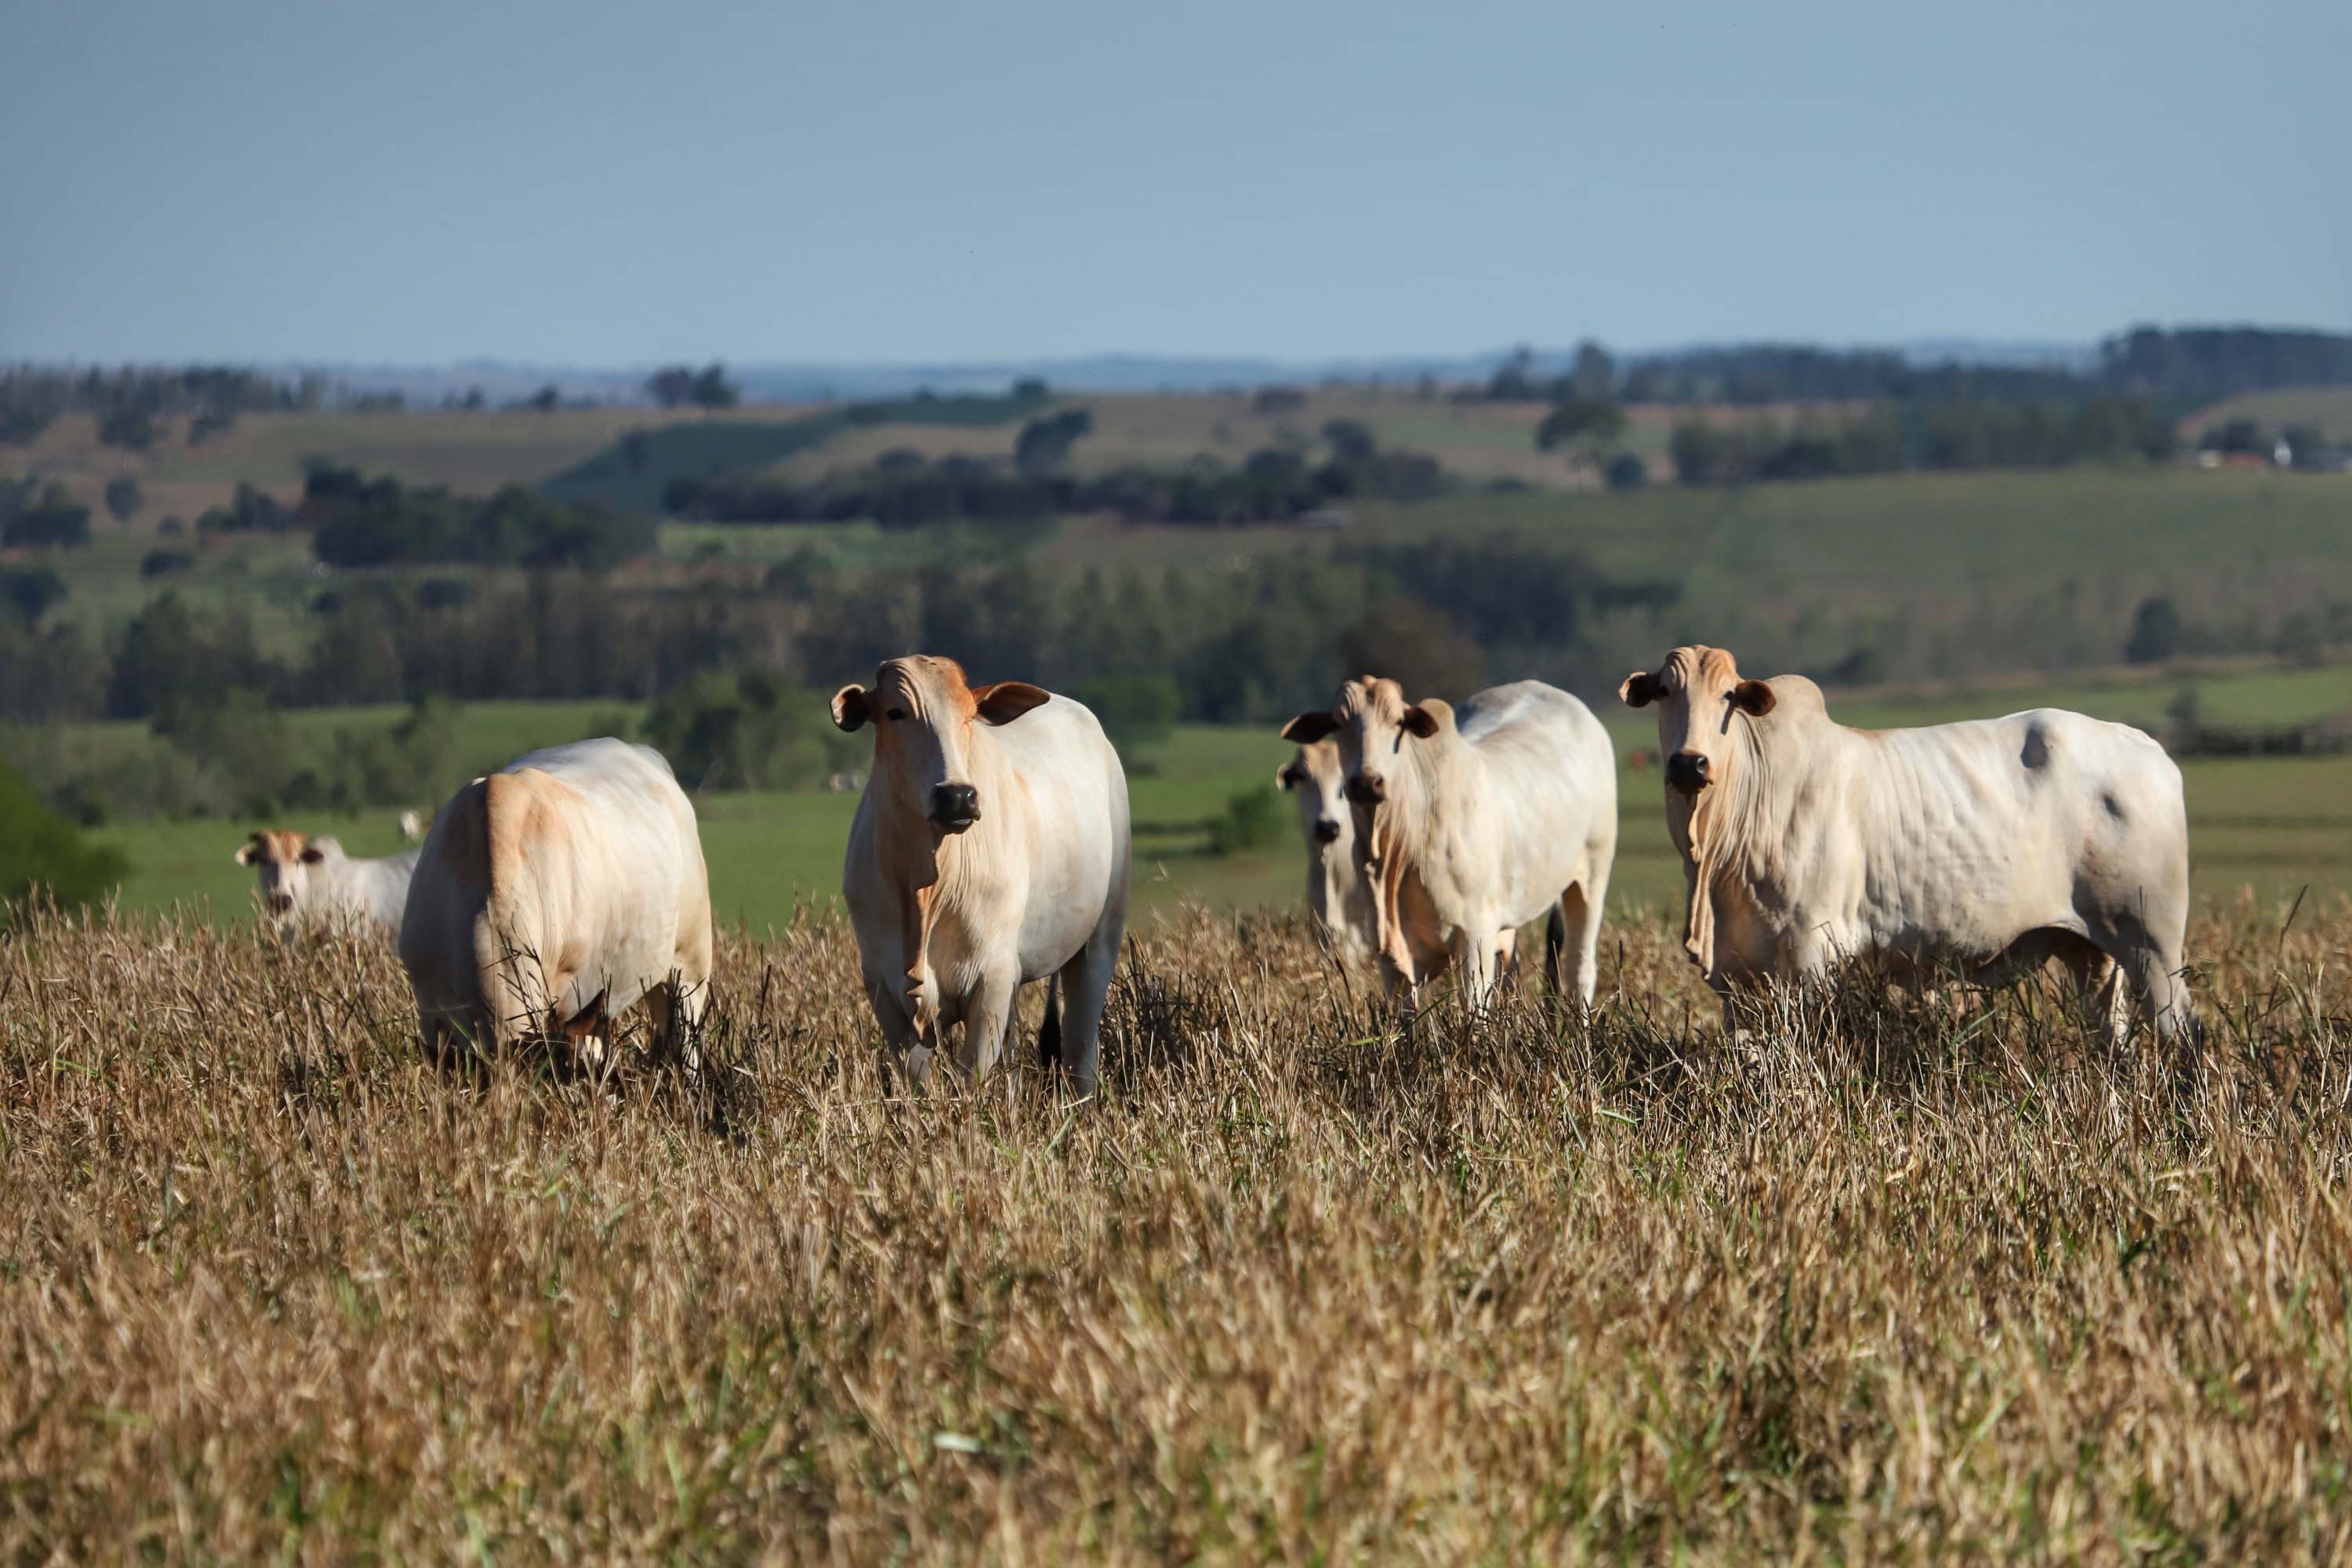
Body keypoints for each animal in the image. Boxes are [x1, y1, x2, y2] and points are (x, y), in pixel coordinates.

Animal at [837, 658, 1129, 1100]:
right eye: (895, 713)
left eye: (969, 715)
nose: (957, 796)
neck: (927, 888)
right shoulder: (881, 986)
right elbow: (920, 1081)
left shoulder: (991, 979)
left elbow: (971, 1077)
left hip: (1100, 938)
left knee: (1081, 1049)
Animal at [1289, 677, 1618, 1006]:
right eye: (1338, 724)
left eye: (1398, 723)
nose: (1367, 782)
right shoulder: (1388, 950)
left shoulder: (1476, 934)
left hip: (1592, 877)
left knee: (1580, 969)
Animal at [1628, 639, 2192, 1044]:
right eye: (1664, 692)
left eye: (1728, 696)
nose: (1690, 763)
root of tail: (2146, 746)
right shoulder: (1735, 976)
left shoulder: (1810, 952)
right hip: (2092, 951)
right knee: (2111, 1039)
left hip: (2154, 944)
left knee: (2182, 1032)